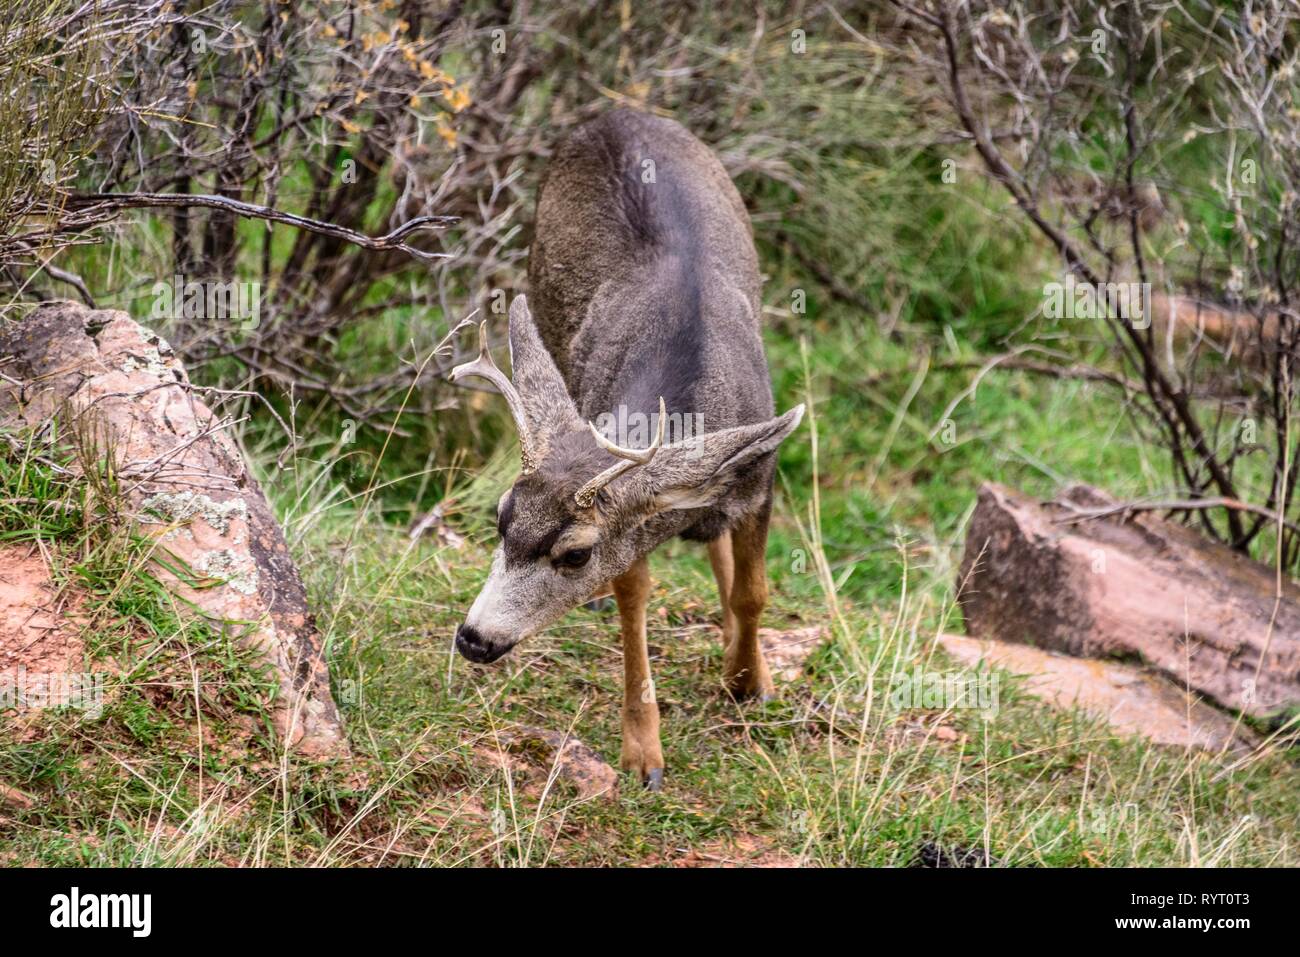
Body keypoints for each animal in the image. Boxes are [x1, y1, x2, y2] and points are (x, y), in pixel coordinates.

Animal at [454, 108, 800, 790]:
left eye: (576, 554)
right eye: (500, 517)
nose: (475, 638)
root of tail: (614, 112)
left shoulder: (760, 480)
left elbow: (753, 592)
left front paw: (748, 680)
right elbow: (634, 607)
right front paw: (644, 755)